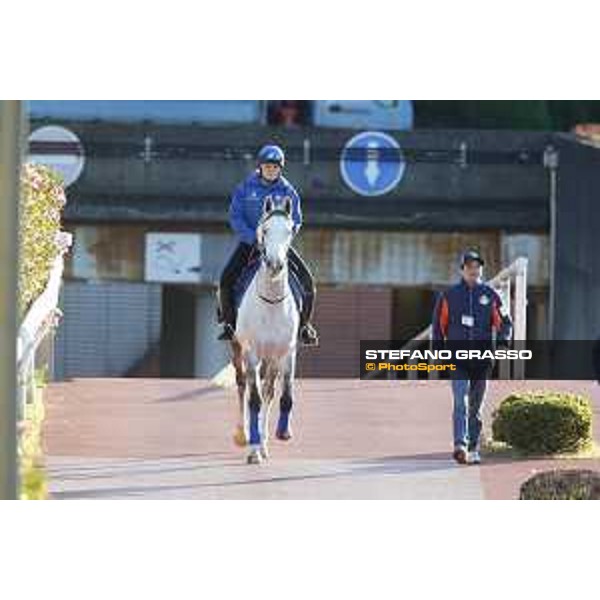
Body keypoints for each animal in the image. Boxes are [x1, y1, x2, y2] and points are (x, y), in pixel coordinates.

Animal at [230, 196, 300, 464]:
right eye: (265, 230)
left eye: (289, 230)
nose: (275, 264)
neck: (271, 303)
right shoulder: (251, 352)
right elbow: (254, 399)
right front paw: (252, 450)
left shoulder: (288, 352)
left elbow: (284, 395)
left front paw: (282, 433)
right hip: (238, 347)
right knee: (242, 386)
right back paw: (244, 436)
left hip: (272, 358)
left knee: (269, 390)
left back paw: (264, 442)